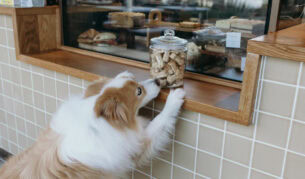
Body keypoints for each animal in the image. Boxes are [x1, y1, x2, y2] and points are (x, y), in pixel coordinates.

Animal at [0, 71, 185, 179]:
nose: (158, 81)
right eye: (139, 91)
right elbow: (160, 121)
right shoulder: (136, 146)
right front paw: (175, 97)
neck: (95, 121)